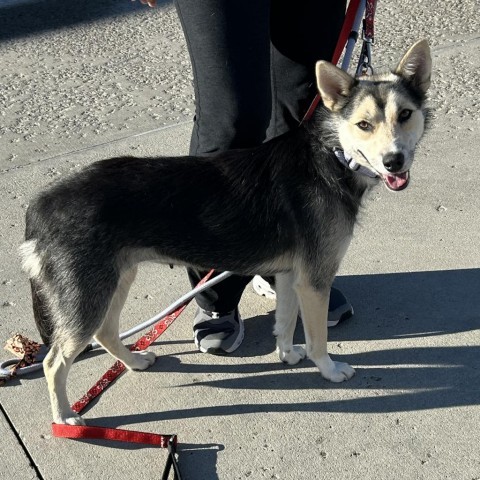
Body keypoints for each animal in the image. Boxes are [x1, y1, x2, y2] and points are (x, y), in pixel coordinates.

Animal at [19, 40, 432, 424]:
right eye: (364, 125)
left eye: (405, 115)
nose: (394, 161)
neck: (330, 155)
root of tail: (41, 205)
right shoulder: (314, 280)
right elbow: (317, 339)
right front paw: (328, 370)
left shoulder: (291, 275)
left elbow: (285, 322)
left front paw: (287, 355)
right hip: (89, 294)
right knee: (54, 362)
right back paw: (65, 417)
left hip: (114, 280)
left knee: (104, 333)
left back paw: (134, 363)